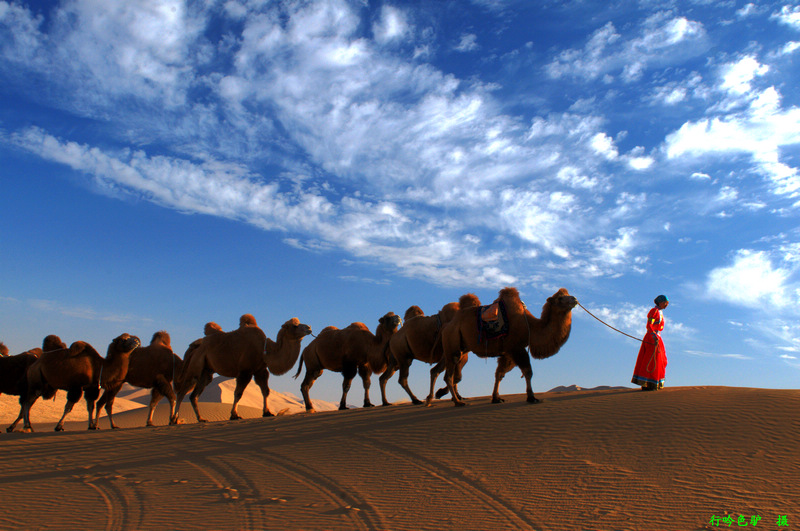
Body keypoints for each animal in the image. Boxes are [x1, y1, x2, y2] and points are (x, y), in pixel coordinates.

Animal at [170, 316, 310, 424]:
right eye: (294, 326)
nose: (309, 327)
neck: (265, 350)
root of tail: (195, 346)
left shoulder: (260, 370)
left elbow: (266, 391)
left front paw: (267, 412)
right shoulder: (245, 371)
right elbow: (238, 393)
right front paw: (234, 415)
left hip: (206, 372)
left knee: (193, 395)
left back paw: (201, 419)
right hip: (196, 366)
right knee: (182, 391)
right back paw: (174, 420)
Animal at [440, 286, 580, 408]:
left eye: (567, 294)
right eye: (560, 298)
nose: (574, 299)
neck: (531, 326)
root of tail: (448, 325)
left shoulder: (507, 352)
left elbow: (499, 374)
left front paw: (496, 398)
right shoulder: (516, 348)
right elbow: (528, 372)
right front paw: (531, 397)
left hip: (462, 347)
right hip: (452, 343)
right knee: (449, 375)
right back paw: (457, 402)